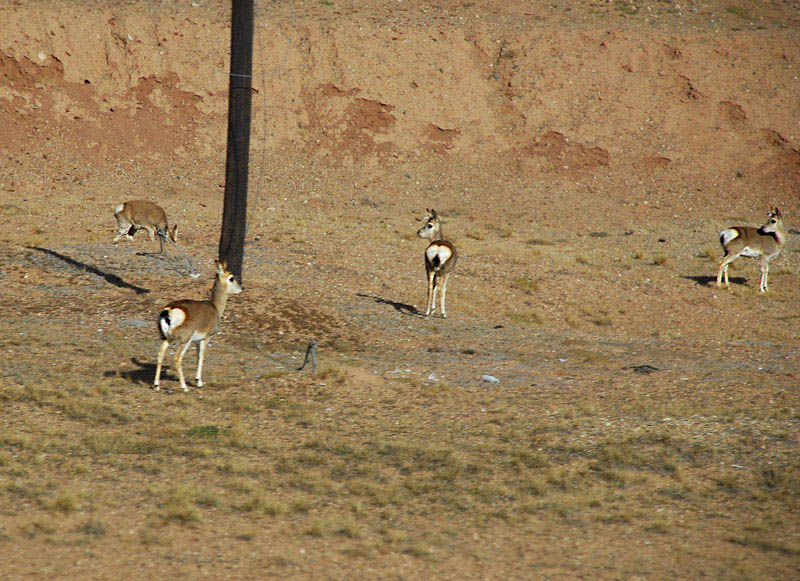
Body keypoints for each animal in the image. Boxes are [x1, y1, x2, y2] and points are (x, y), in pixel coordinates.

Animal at [155, 260, 242, 392]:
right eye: (231, 278)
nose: (241, 288)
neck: (215, 307)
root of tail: (168, 311)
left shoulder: (196, 341)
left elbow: (197, 356)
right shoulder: (206, 338)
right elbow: (202, 356)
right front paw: (199, 381)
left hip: (166, 338)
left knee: (160, 354)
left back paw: (156, 385)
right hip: (185, 341)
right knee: (177, 358)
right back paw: (184, 387)